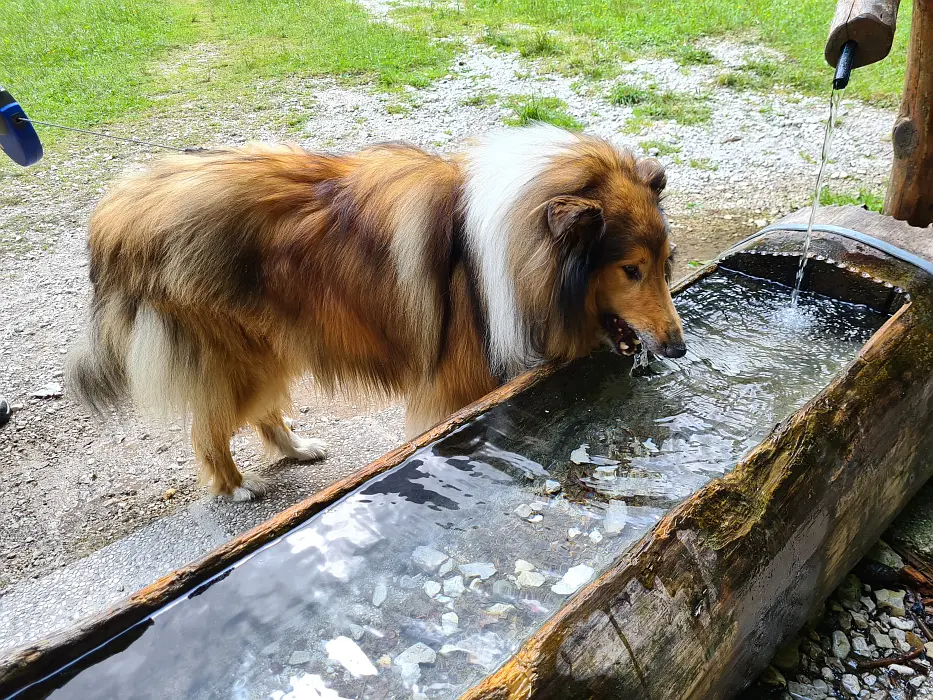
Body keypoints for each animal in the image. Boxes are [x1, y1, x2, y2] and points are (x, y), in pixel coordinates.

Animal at [63, 124, 676, 498]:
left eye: (666, 262)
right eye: (631, 270)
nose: (679, 346)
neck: (520, 254)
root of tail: (116, 213)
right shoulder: (458, 389)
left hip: (271, 341)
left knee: (260, 411)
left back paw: (298, 448)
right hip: (231, 355)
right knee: (206, 429)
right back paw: (235, 485)